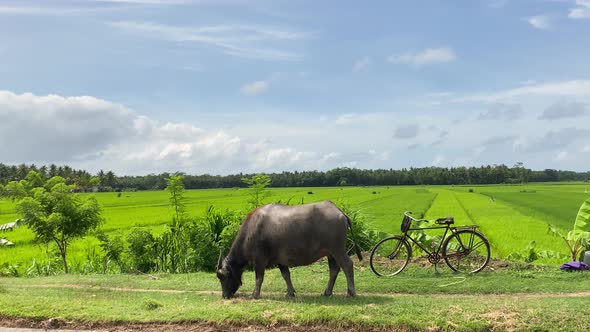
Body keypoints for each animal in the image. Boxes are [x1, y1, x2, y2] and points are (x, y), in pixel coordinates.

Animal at [217, 201, 364, 300]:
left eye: (225, 276)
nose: (225, 295)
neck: (251, 230)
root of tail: (339, 211)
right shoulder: (280, 260)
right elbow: (286, 275)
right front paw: (290, 292)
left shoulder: (259, 260)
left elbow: (259, 278)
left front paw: (255, 294)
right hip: (330, 253)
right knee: (334, 270)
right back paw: (327, 292)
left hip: (338, 250)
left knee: (347, 265)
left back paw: (351, 292)